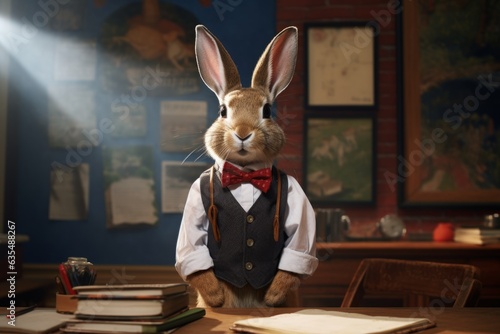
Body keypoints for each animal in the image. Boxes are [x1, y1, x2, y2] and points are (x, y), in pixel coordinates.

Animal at [176, 25, 316, 308]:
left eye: (267, 110)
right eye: (222, 111)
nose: (242, 132)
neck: (245, 173)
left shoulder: (296, 199)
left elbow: (297, 246)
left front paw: (274, 297)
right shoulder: (195, 201)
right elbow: (194, 249)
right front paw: (216, 298)